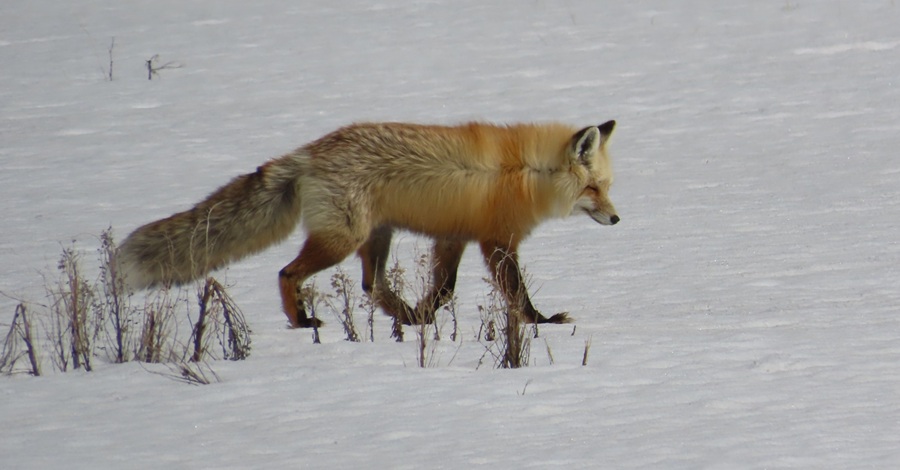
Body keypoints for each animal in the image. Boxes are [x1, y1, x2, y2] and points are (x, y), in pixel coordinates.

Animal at [117, 120, 619, 328]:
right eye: (594, 188)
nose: (617, 218)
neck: (526, 173)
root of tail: (308, 152)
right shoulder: (497, 241)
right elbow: (517, 295)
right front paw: (543, 322)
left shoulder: (454, 235)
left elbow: (444, 289)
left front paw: (424, 316)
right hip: (343, 238)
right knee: (287, 274)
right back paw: (302, 322)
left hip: (375, 236)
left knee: (371, 286)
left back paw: (405, 317)